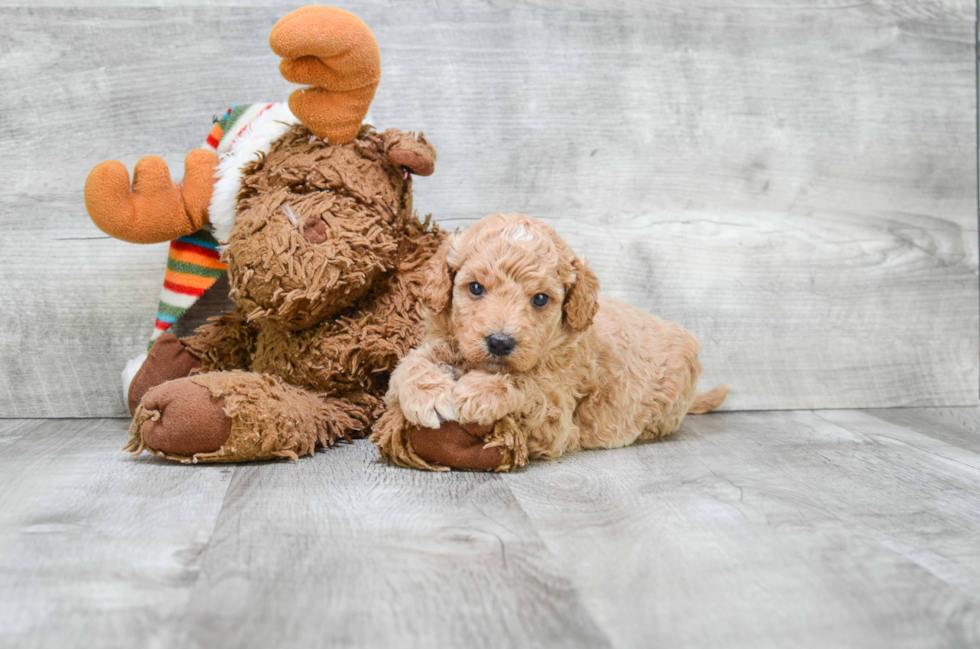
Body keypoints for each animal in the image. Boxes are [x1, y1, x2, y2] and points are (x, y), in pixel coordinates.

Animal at [376, 213, 728, 470]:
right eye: (475, 288)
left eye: (541, 299)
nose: (500, 342)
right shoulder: (447, 340)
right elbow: (410, 362)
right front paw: (426, 394)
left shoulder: (558, 421)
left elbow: (526, 386)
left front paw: (481, 391)